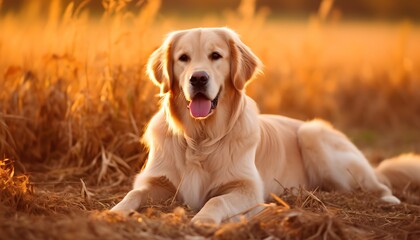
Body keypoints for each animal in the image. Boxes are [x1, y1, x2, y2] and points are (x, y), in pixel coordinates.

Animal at [111, 27, 420, 225]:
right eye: (183, 58)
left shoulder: (247, 187)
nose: (198, 78)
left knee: (377, 183)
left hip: (314, 134)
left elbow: (216, 201)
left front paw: (205, 219)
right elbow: (134, 192)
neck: (200, 137)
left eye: (216, 56)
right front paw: (113, 212)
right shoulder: (155, 180)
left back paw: (386, 199)